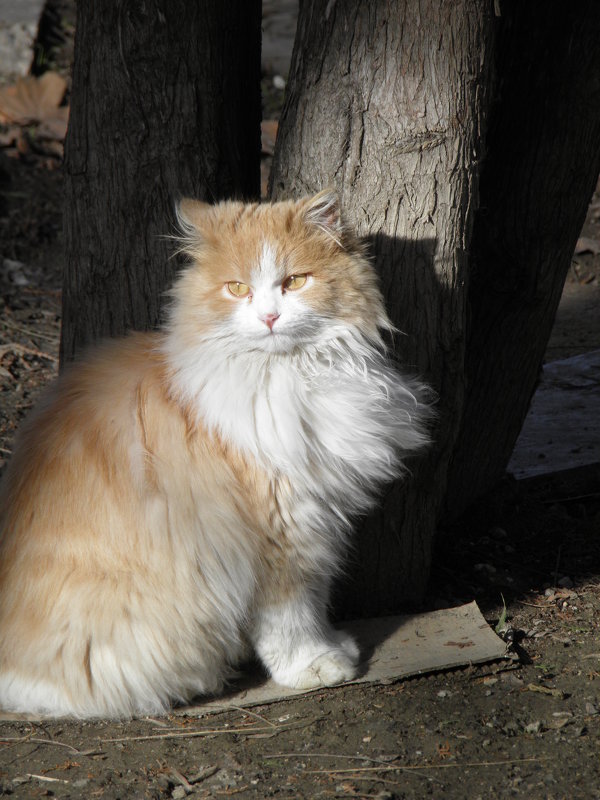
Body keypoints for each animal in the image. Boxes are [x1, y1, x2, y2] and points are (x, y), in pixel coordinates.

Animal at [0, 189, 432, 720]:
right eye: (237, 288)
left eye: (294, 282)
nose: (269, 318)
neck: (289, 375)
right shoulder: (280, 531)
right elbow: (291, 616)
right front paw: (313, 667)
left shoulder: (314, 518)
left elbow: (314, 600)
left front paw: (333, 645)